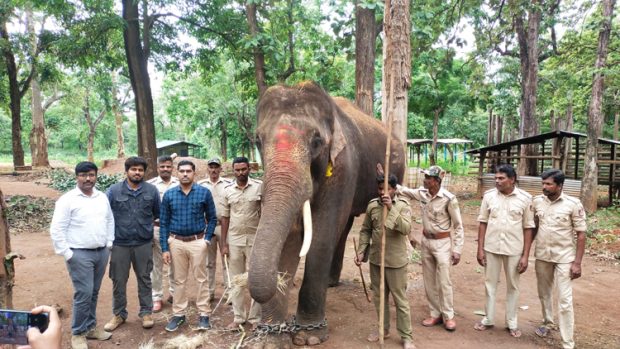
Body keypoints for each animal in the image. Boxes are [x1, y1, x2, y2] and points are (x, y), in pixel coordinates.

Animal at [248, 81, 406, 346]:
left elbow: (321, 234)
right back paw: (331, 283)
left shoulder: (343, 165)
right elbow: (292, 235)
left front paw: (308, 336)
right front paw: (271, 338)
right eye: (258, 141)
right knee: (345, 225)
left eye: (317, 142)